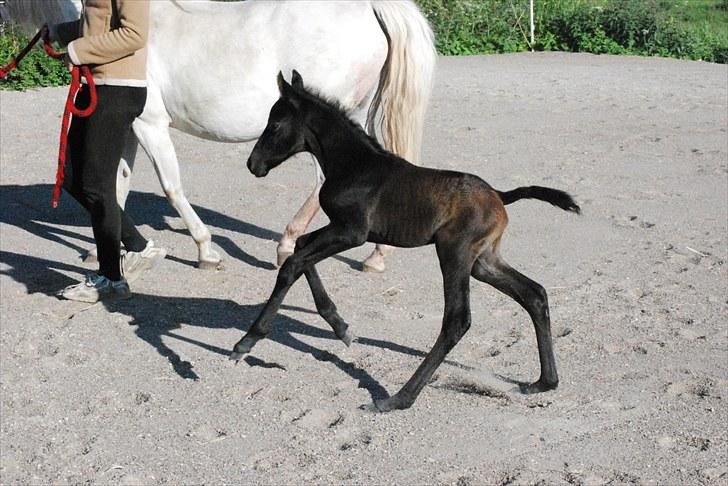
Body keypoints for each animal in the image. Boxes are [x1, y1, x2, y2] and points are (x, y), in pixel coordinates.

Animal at [2, 0, 436, 274]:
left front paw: (205, 250)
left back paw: (288, 245)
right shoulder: (130, 126)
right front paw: (102, 251)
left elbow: (171, 187)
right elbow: (116, 186)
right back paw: (374, 255)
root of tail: (371, 7)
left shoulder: (150, 124)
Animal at [233, 71, 580, 414]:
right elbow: (302, 247)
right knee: (534, 294)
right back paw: (543, 382)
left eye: (274, 125)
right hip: (483, 261)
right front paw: (341, 328)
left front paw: (246, 341)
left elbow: (292, 265)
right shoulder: (339, 229)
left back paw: (397, 399)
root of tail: (499, 195)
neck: (354, 165)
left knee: (457, 319)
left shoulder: (351, 232)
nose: (253, 164)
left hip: (454, 252)